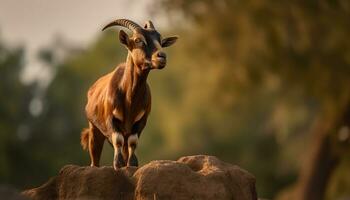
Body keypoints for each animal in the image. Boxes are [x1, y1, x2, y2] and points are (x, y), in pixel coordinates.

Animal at [80, 18, 176, 169]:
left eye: (160, 41)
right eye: (138, 40)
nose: (162, 56)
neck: (129, 99)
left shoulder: (140, 121)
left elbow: (133, 141)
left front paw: (132, 164)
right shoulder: (111, 120)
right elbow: (117, 139)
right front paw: (118, 164)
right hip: (94, 129)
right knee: (95, 155)